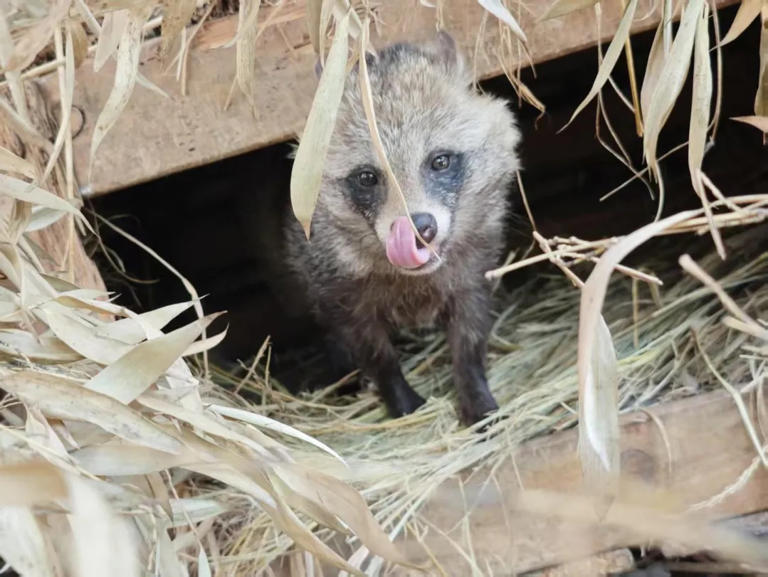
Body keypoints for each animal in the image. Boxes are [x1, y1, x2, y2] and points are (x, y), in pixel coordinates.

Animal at [284, 32, 524, 428]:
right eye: (367, 177)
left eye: (440, 161)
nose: (417, 230)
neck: (414, 283)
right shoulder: (339, 295)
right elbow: (378, 357)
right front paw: (399, 399)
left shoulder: (474, 274)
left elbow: (469, 343)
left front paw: (476, 395)